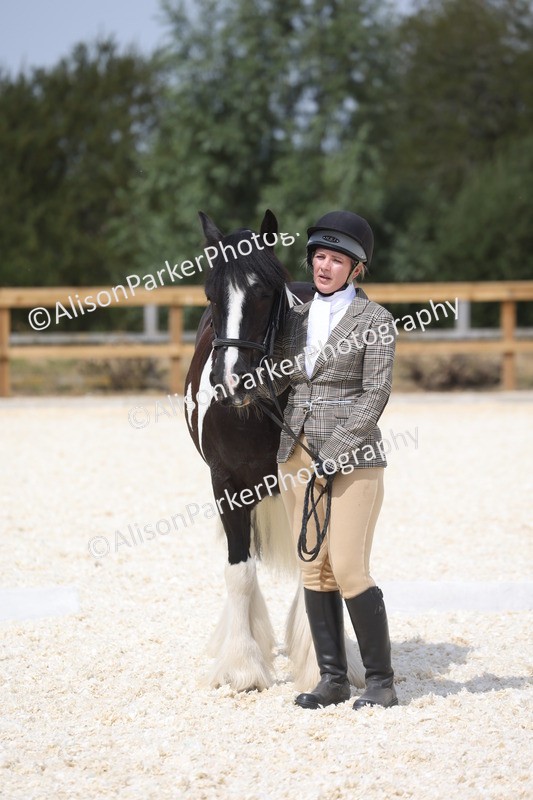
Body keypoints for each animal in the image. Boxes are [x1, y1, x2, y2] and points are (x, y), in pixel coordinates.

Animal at [184, 209, 365, 692]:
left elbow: (315, 568)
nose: (231, 381)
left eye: (264, 293)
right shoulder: (226, 486)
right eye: (210, 295)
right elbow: (239, 571)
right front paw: (243, 668)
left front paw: (320, 665)